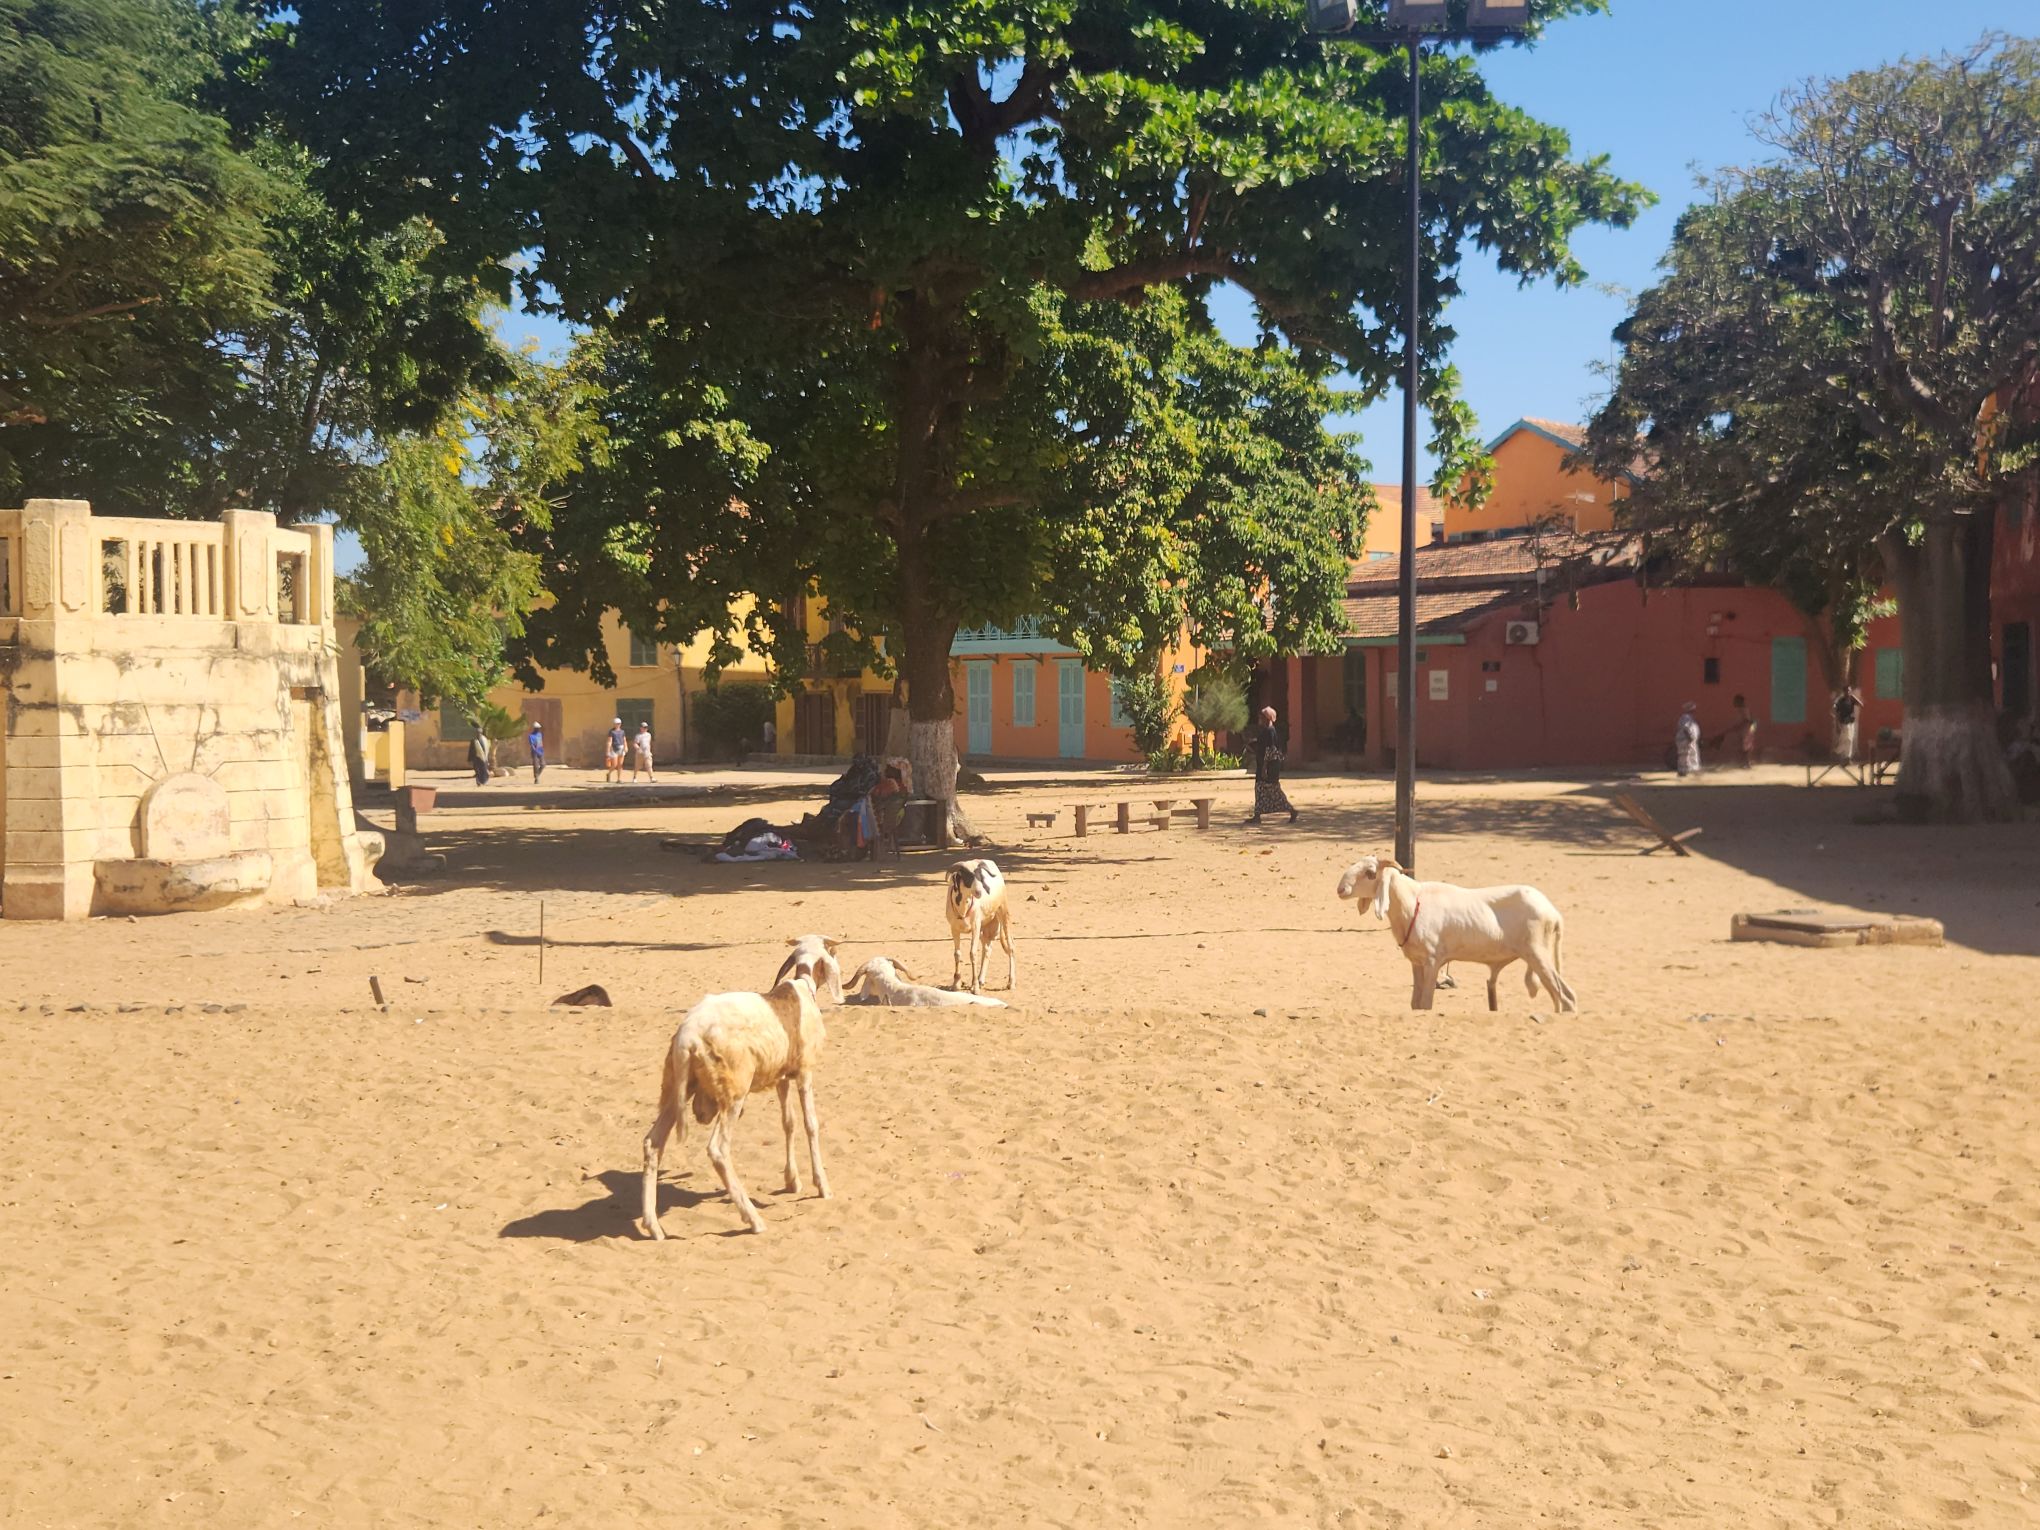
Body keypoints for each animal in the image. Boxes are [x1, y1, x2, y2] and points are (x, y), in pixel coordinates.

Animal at [640, 975, 830, 1238]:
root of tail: (687, 1037)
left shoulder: (781, 1076)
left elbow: (788, 1122)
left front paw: (792, 1181)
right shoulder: (805, 1071)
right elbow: (810, 1124)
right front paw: (822, 1185)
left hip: (677, 1087)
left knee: (653, 1142)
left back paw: (654, 1227)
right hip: (733, 1092)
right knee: (718, 1149)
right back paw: (754, 1220)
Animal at [945, 858, 1014, 994]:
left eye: (980, 876)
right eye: (968, 876)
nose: (979, 892)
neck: (963, 909)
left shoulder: (975, 927)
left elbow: (972, 953)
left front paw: (975, 987)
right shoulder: (954, 928)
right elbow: (957, 954)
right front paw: (956, 983)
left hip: (1003, 912)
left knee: (1010, 947)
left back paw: (1011, 982)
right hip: (987, 926)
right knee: (987, 949)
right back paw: (981, 979)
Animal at [1336, 854, 1578, 1013]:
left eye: (1370, 873)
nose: (1341, 889)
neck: (1412, 903)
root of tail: (1553, 913)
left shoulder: (1433, 961)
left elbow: (1425, 1004)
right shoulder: (1417, 962)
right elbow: (1415, 1005)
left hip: (1537, 953)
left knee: (1566, 998)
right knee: (1562, 996)